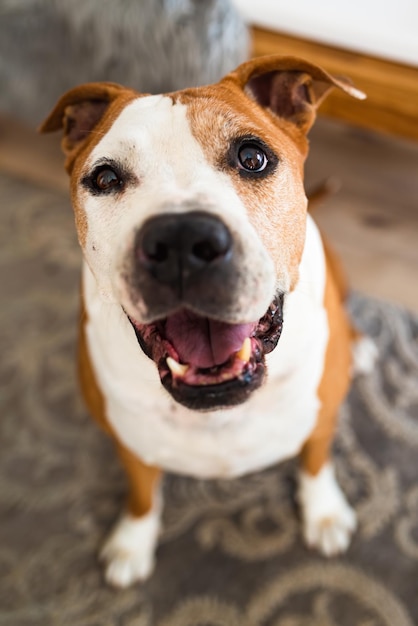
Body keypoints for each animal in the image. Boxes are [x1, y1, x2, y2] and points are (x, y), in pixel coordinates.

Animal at [40, 53, 376, 584]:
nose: (181, 240)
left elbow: (316, 464)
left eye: (252, 158)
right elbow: (143, 495)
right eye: (106, 179)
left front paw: (323, 513)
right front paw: (132, 542)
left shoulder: (322, 419)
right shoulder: (130, 444)